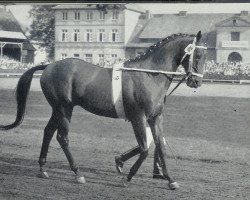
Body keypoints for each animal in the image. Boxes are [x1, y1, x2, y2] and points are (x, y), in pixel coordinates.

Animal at [0, 30, 206, 189]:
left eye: (205, 57)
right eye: (199, 55)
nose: (196, 82)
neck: (149, 74)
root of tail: (49, 66)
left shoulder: (155, 118)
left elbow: (160, 148)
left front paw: (170, 180)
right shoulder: (138, 117)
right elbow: (144, 149)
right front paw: (127, 177)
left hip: (58, 109)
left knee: (48, 132)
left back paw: (43, 169)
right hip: (64, 109)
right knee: (62, 137)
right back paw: (77, 173)